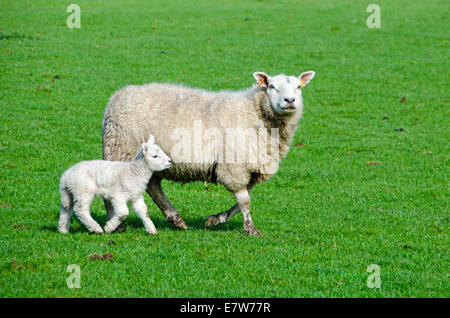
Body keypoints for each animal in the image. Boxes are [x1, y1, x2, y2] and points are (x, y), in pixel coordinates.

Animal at [101, 72, 314, 236]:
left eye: (299, 87)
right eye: (271, 86)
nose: (290, 101)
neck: (255, 114)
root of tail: (115, 98)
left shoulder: (251, 168)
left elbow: (241, 201)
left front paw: (216, 219)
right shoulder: (234, 167)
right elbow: (244, 200)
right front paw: (251, 229)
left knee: (153, 186)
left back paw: (176, 219)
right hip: (121, 150)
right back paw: (116, 225)